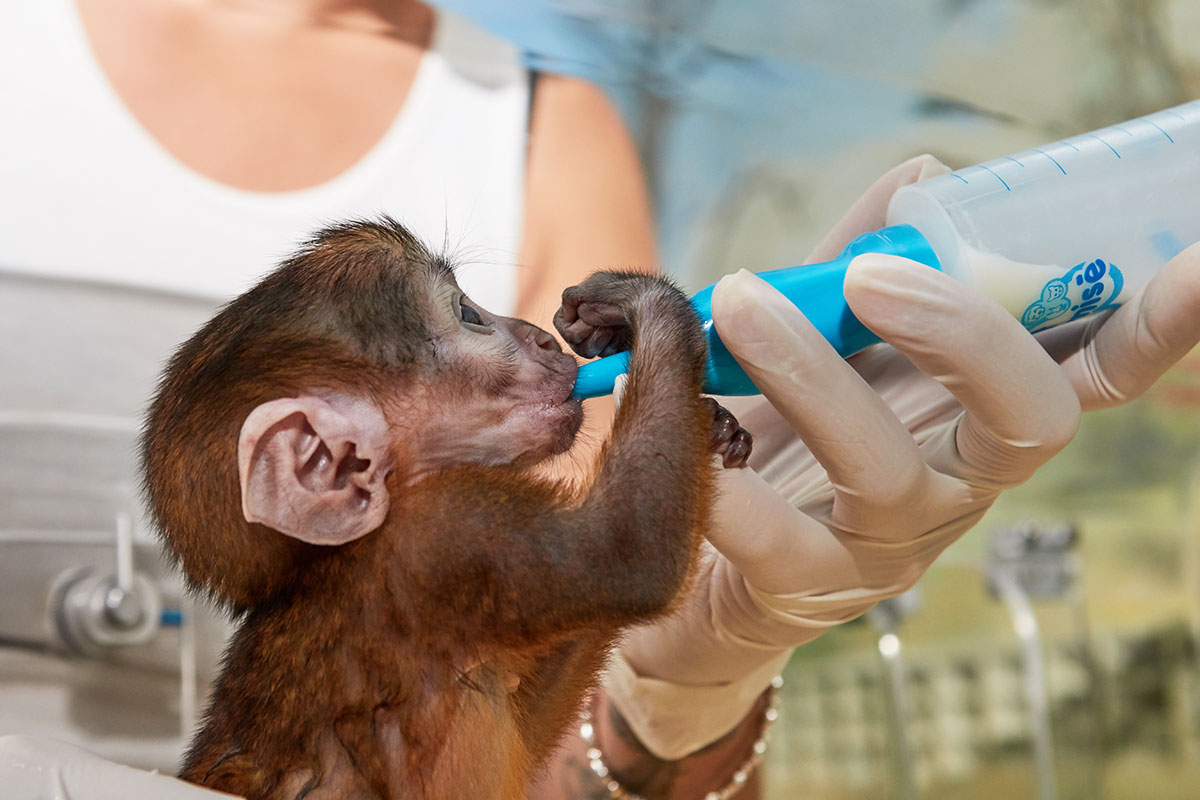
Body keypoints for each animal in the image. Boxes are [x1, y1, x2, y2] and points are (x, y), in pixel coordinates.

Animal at [140, 219, 748, 800]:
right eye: (467, 313)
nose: (546, 340)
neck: (324, 560)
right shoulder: (444, 533)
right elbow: (626, 549)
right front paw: (644, 302)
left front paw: (705, 417)